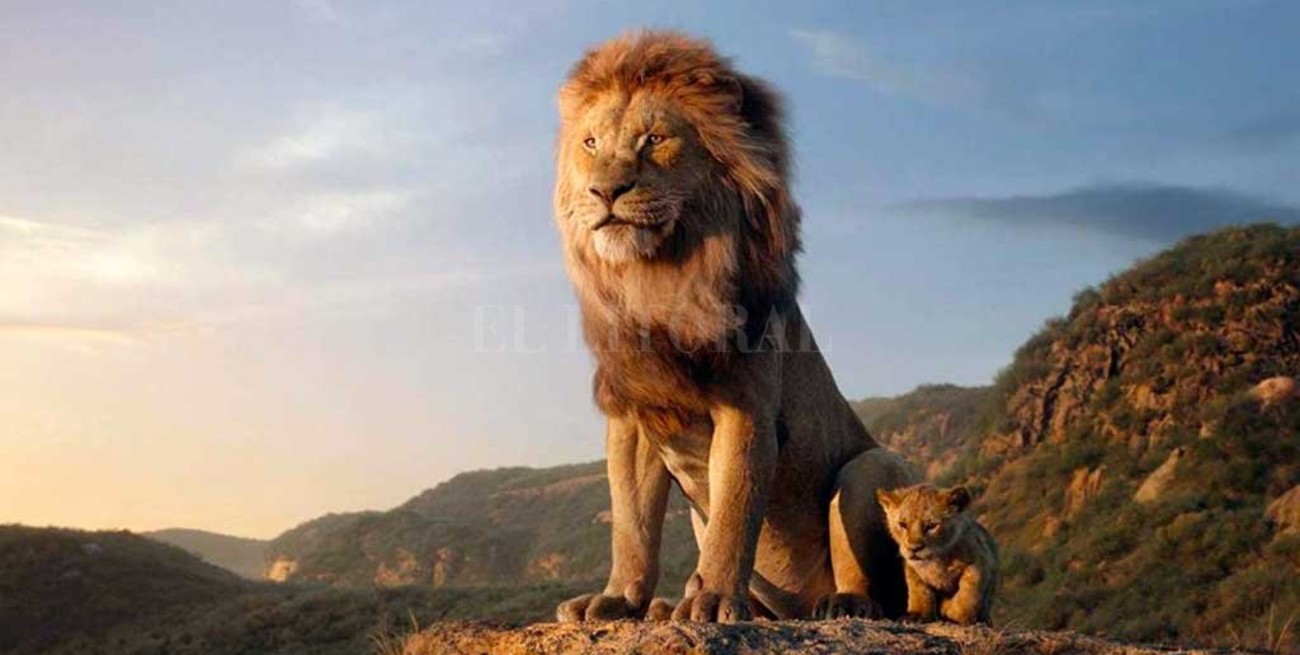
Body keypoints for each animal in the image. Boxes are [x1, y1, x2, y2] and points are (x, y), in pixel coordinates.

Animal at [551, 30, 918, 623]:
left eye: (654, 139)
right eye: (590, 143)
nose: (604, 191)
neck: (658, 278)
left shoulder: (746, 407)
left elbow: (733, 512)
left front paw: (716, 599)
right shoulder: (634, 415)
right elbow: (631, 525)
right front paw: (618, 599)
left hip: (870, 466)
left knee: (875, 584)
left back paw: (841, 604)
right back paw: (666, 606)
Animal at [877, 484, 999, 625]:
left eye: (931, 526)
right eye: (902, 524)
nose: (914, 549)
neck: (936, 559)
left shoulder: (979, 561)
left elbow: (968, 591)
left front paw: (954, 614)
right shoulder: (912, 568)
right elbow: (919, 591)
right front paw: (917, 614)